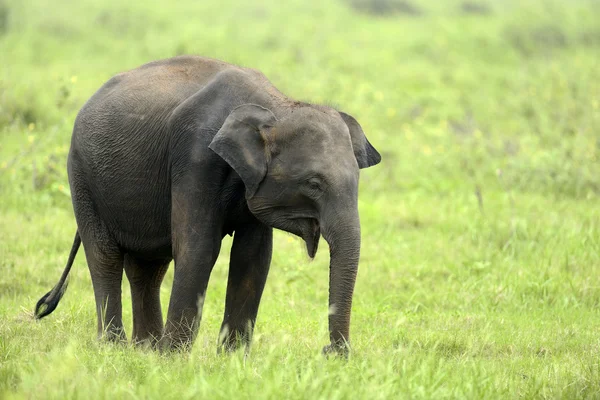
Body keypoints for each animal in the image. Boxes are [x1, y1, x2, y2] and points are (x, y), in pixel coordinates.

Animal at [34, 54, 380, 354]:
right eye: (313, 184)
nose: (330, 352)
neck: (277, 105)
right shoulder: (195, 157)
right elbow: (198, 247)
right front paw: (173, 360)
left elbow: (254, 257)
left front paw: (231, 360)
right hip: (82, 176)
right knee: (104, 256)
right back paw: (115, 349)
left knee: (148, 266)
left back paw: (144, 350)